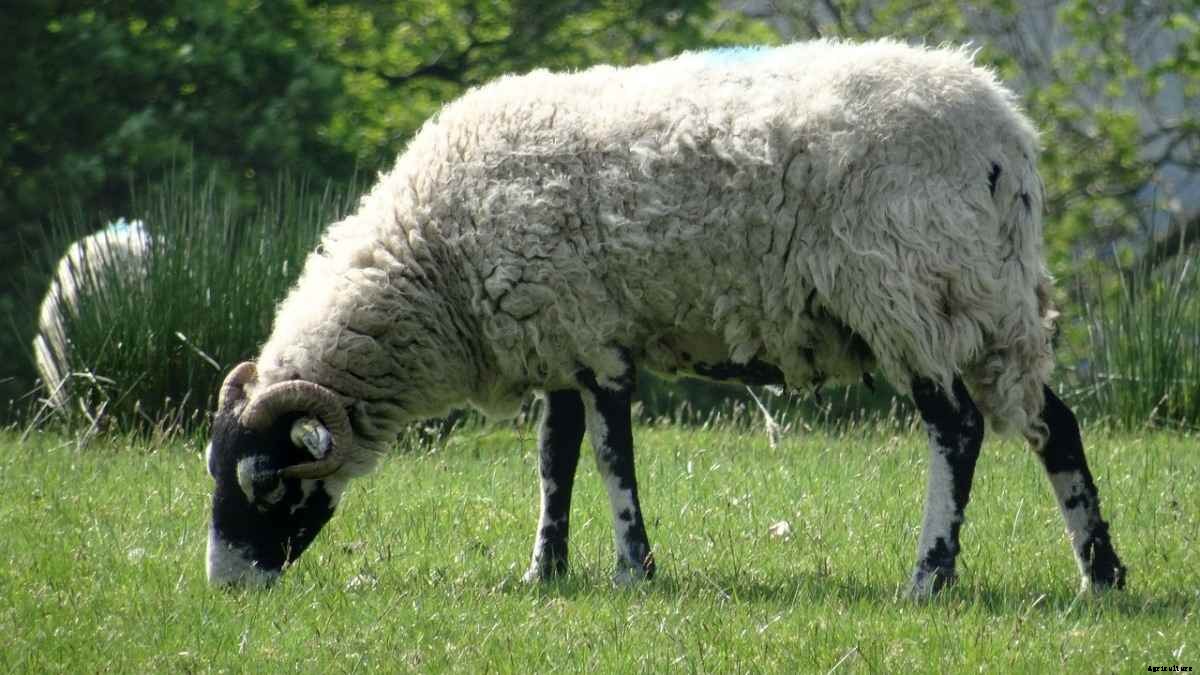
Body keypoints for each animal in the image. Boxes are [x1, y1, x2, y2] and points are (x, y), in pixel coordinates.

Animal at [204, 39, 1125, 596]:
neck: (432, 262)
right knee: (1054, 424)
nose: (226, 588)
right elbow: (554, 459)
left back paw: (928, 576)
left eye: (266, 483)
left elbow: (612, 456)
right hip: (989, 298)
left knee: (958, 430)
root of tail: (1007, 135)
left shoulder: (593, 335)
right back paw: (1101, 574)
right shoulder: (557, 333)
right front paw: (546, 569)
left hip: (909, 292)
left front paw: (632, 569)